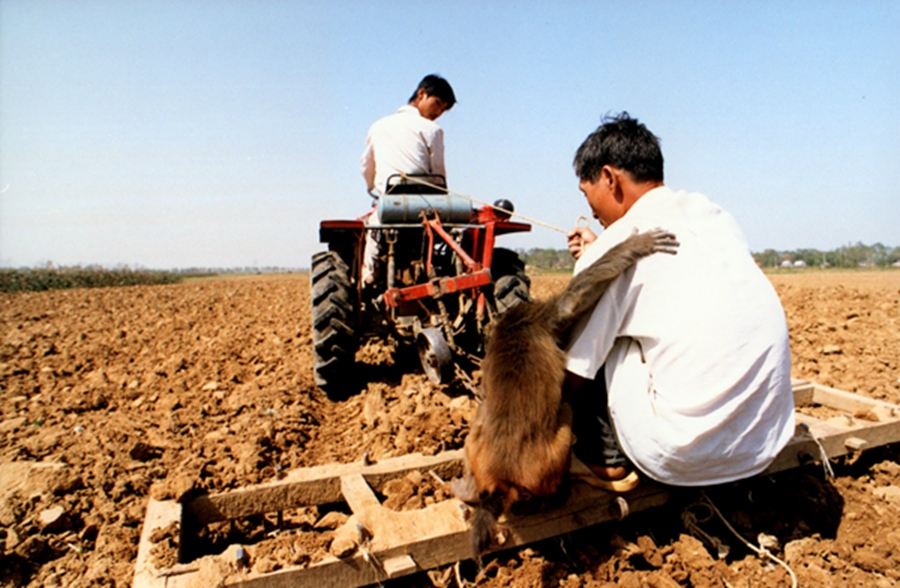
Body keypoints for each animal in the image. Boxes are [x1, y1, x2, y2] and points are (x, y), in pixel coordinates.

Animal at [452, 228, 679, 557]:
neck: (513, 324)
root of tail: (502, 480)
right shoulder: (542, 317)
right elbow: (571, 301)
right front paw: (633, 247)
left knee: (478, 426)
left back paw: (469, 490)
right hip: (548, 458)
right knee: (566, 412)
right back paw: (555, 496)